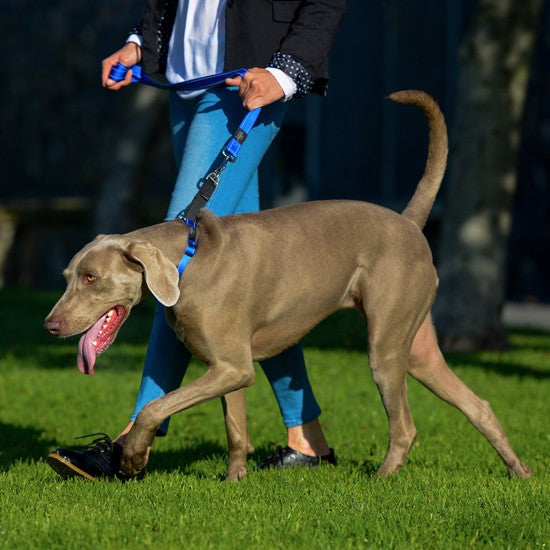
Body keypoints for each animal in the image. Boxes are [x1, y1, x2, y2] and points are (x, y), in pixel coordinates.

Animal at [45, 91, 532, 484]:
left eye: (92, 278)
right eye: (67, 276)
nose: (50, 326)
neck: (187, 261)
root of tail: (409, 222)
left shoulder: (232, 366)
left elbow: (156, 406)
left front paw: (131, 457)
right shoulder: (228, 368)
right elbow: (235, 431)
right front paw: (233, 483)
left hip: (386, 345)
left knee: (406, 426)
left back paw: (382, 479)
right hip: (417, 346)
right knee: (478, 403)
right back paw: (518, 470)